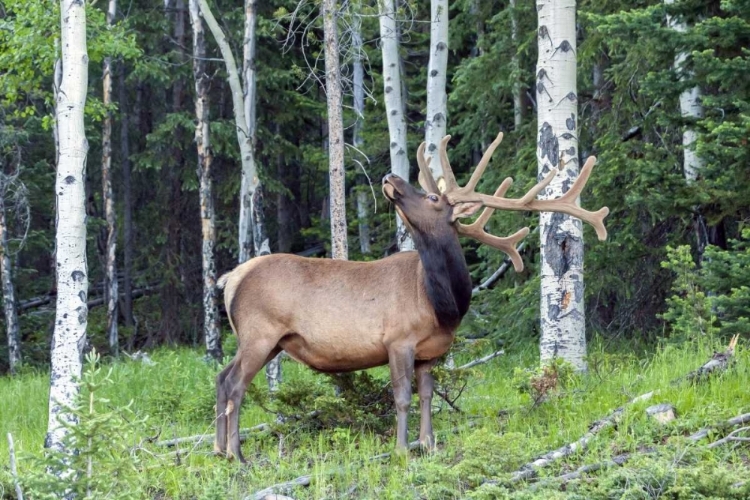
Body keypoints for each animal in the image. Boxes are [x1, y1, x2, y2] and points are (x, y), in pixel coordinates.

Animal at [213, 132, 612, 460]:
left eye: (432, 195)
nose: (390, 176)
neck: (444, 304)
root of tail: (230, 279)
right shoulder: (398, 340)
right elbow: (402, 397)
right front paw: (403, 449)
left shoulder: (429, 352)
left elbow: (428, 397)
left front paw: (429, 444)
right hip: (261, 332)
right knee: (235, 385)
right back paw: (237, 454)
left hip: (267, 340)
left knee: (221, 376)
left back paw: (218, 450)